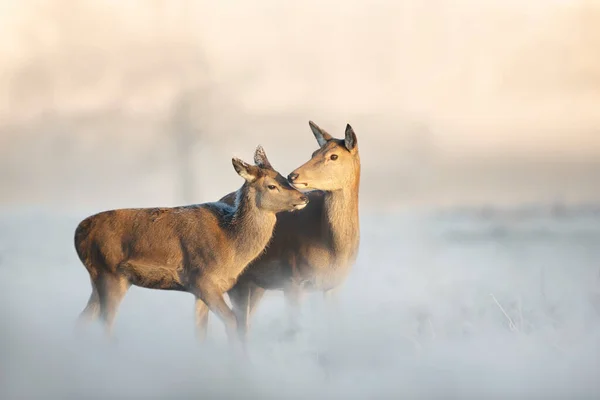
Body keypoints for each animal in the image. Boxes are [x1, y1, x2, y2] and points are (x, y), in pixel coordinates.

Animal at [74, 147, 310, 344]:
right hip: (110, 272)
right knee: (105, 323)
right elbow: (232, 321)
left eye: (283, 177)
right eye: (272, 185)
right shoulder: (203, 279)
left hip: (100, 277)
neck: (232, 246)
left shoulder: (201, 288)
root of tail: (78, 233)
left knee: (82, 319)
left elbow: (201, 331)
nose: (304, 198)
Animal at [204, 121, 358, 338]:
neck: (334, 250)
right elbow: (294, 329)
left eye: (334, 156)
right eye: (313, 152)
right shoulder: (293, 280)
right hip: (237, 281)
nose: (293, 175)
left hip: (257, 286)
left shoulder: (333, 286)